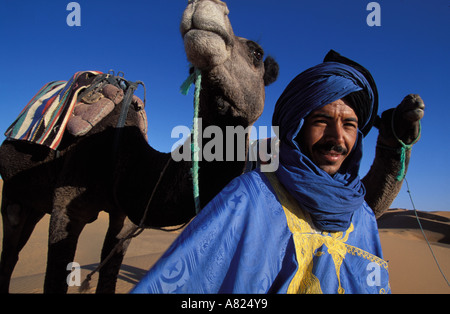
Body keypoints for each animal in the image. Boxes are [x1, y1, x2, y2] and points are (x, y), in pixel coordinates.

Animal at [0, 0, 422, 294]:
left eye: (256, 53)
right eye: (191, 70)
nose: (207, 8)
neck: (124, 157)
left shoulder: (124, 215)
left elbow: (109, 273)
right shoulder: (68, 203)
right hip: (15, 197)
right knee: (11, 251)